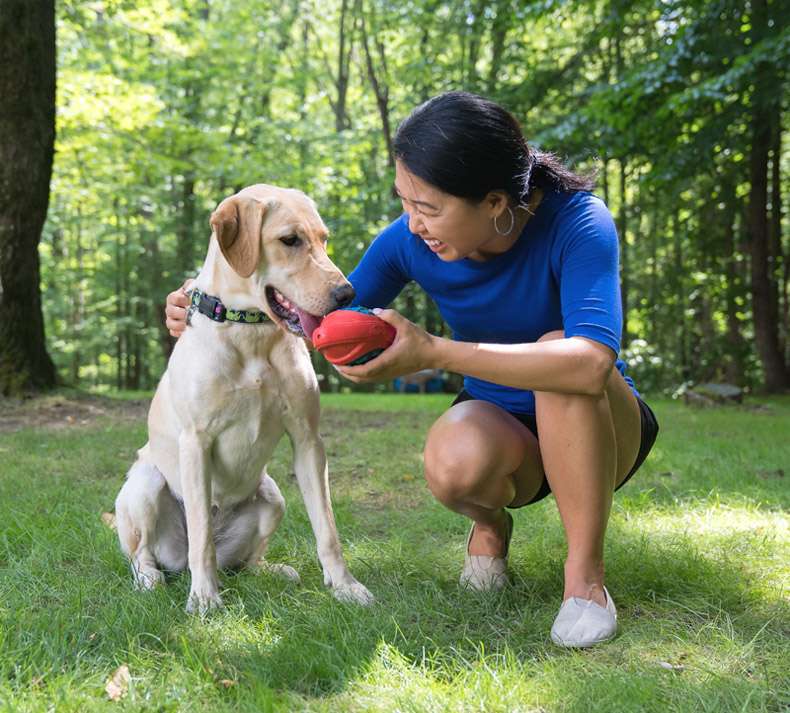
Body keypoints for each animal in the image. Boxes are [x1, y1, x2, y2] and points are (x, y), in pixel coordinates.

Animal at [114, 184, 374, 612]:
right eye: (290, 240)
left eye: (324, 239)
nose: (346, 293)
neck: (250, 332)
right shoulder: (196, 442)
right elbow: (200, 535)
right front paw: (205, 597)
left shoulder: (308, 439)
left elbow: (327, 528)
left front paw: (345, 585)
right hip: (145, 486)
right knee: (145, 554)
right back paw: (152, 578)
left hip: (273, 496)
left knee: (246, 560)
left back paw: (270, 570)